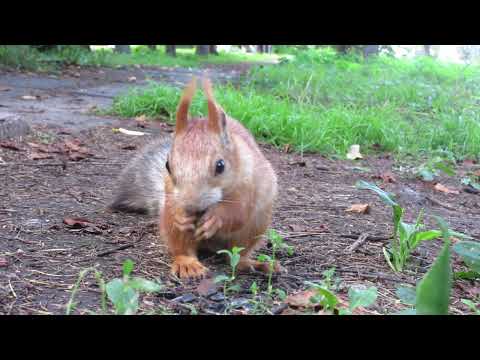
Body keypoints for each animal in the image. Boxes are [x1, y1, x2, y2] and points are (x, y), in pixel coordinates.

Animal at [110, 77, 280, 280]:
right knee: (183, 248)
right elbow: (174, 206)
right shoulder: (170, 190)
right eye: (167, 165)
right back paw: (188, 264)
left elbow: (238, 211)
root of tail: (211, 246)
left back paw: (254, 264)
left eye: (220, 166)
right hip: (169, 225)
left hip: (255, 226)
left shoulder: (248, 183)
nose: (191, 205)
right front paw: (181, 215)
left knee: (237, 256)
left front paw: (215, 218)